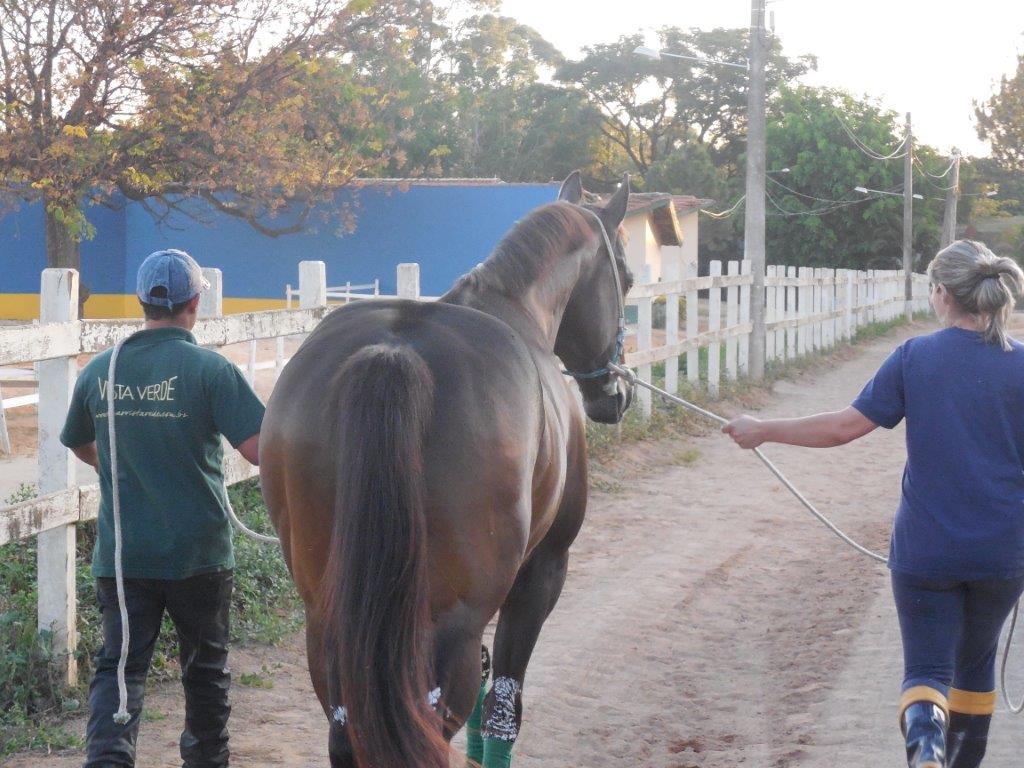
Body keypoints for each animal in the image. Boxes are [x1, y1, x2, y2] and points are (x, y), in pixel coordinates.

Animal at [258, 174, 630, 768]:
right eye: (628, 277)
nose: (615, 396)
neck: (516, 308)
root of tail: (396, 353)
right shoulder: (541, 573)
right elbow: (502, 713)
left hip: (327, 623)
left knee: (348, 733)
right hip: (452, 626)